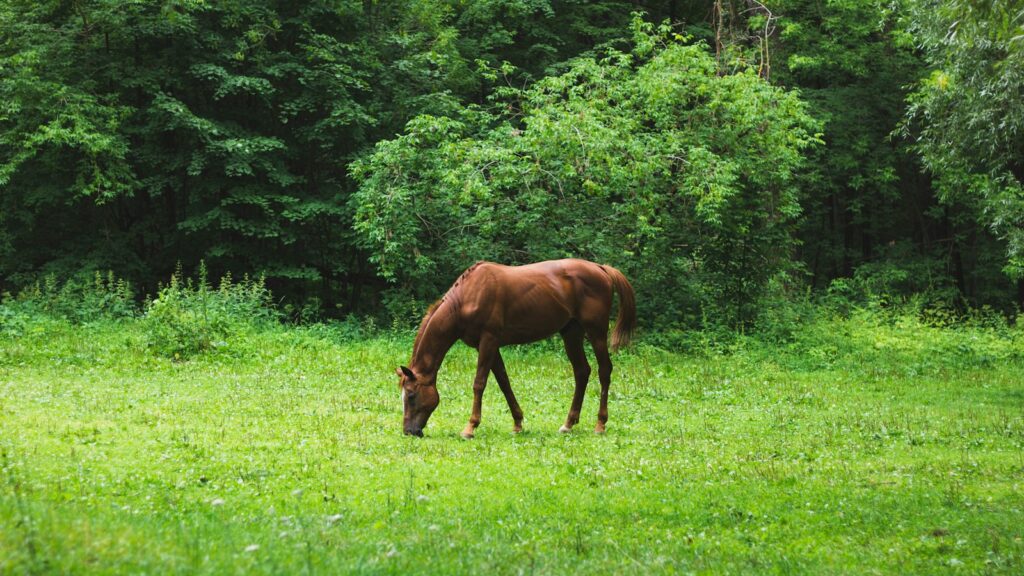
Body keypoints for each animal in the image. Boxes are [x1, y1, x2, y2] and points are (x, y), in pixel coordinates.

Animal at [395, 258, 636, 438]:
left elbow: (479, 383)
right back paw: (568, 423)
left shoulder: (488, 341)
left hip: (596, 332)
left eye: (411, 395)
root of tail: (601, 268)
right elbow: (504, 382)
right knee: (582, 371)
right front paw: (518, 422)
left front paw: (470, 427)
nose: (409, 431)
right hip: (571, 332)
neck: (466, 298)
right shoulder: (488, 346)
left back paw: (600, 424)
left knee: (604, 371)